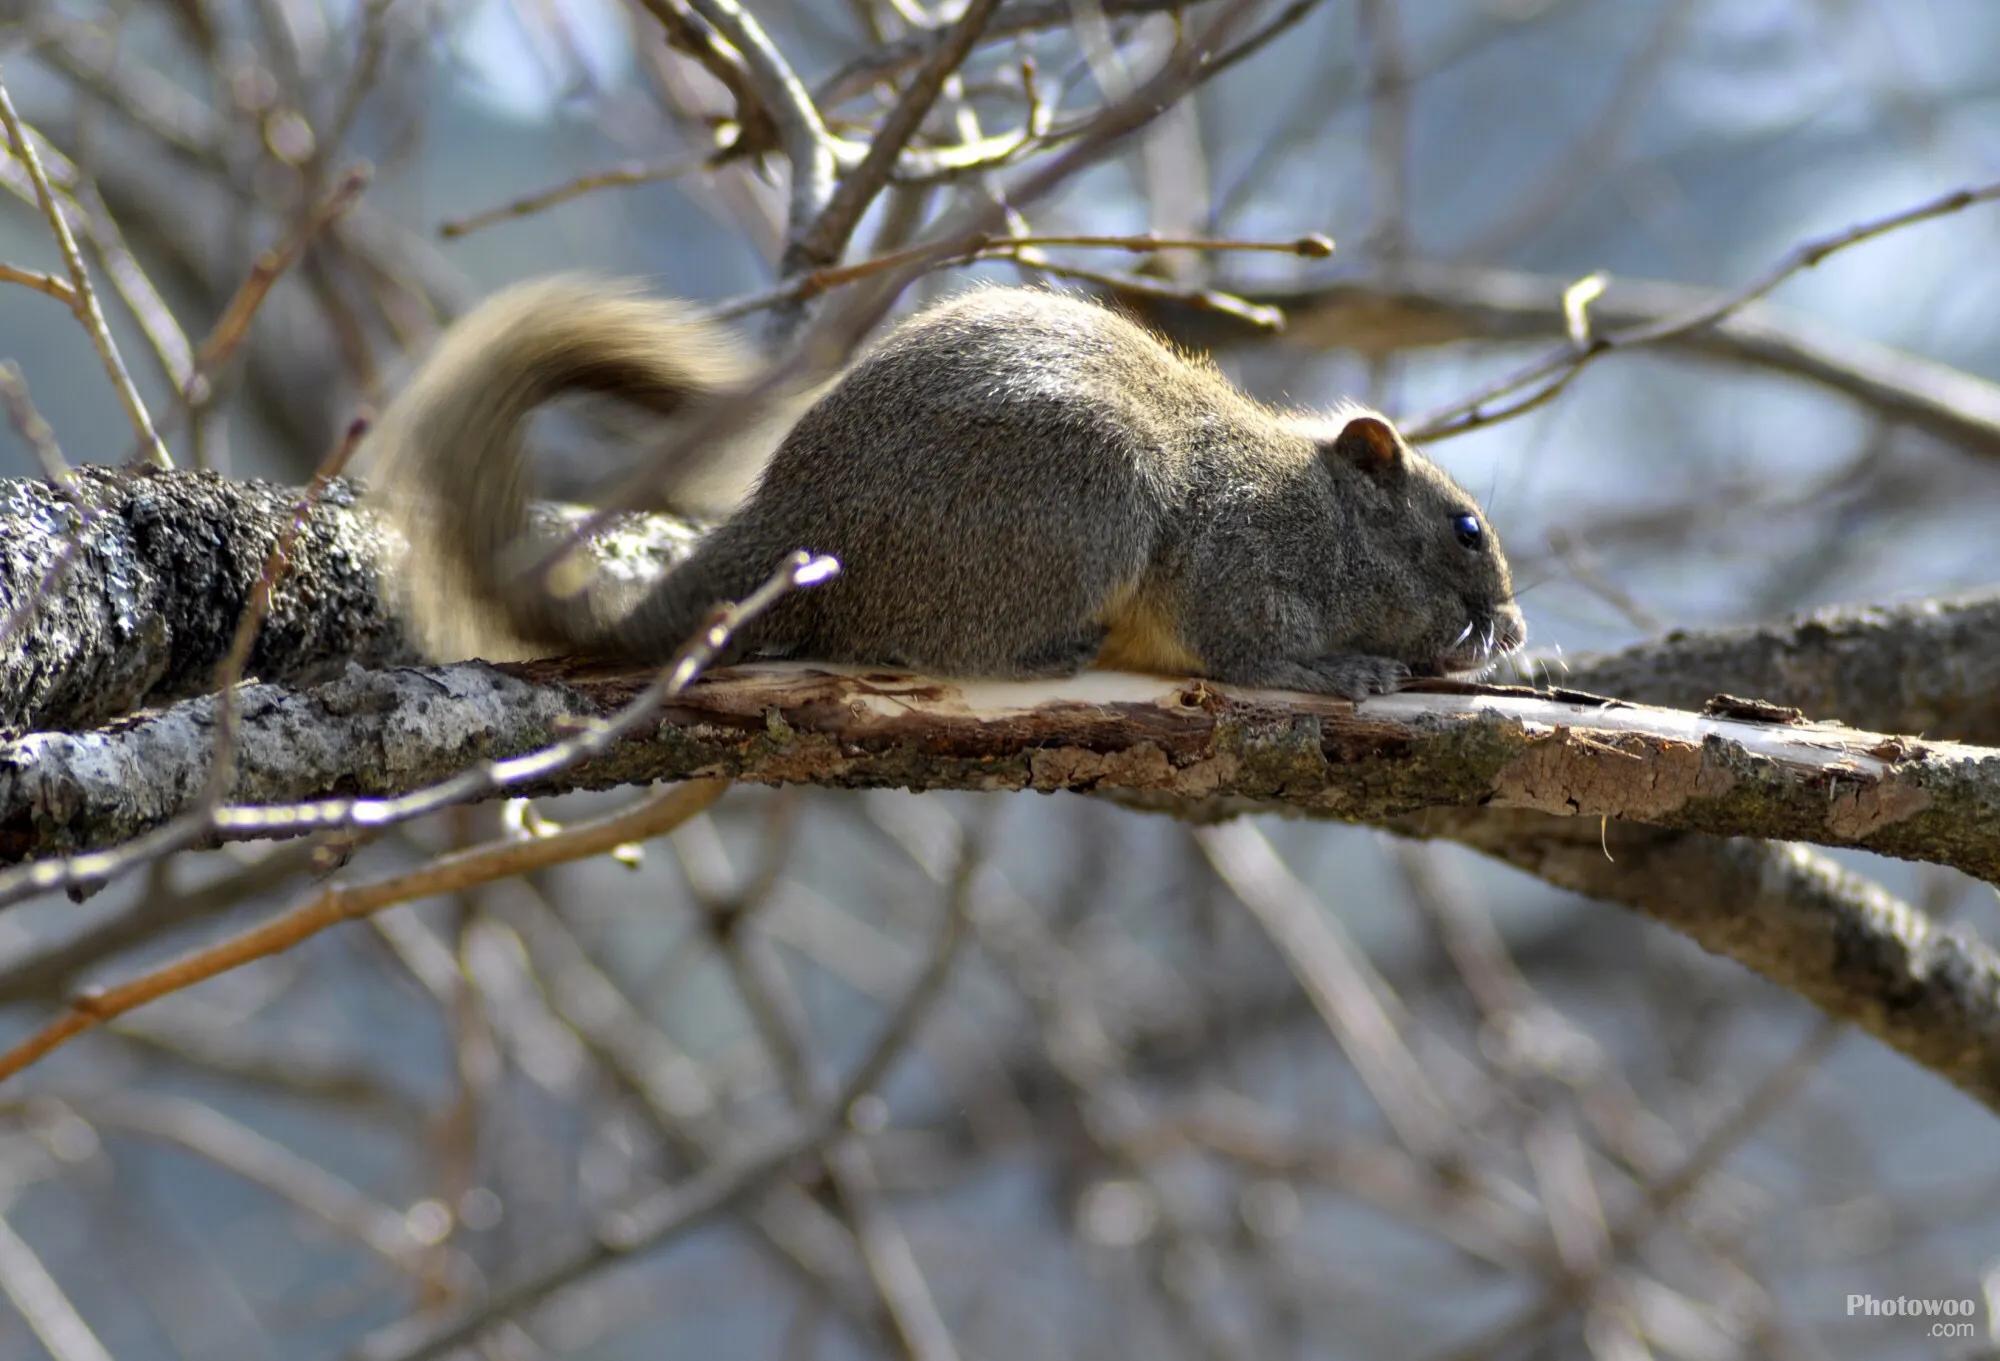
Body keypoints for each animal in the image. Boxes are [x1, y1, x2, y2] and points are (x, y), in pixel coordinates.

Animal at [368, 278, 1520, 700]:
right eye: (1465, 527)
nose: (1508, 626)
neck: (1320, 514)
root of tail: (799, 526)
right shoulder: (1233, 558)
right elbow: (1245, 651)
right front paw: (1338, 674)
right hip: (1078, 508)